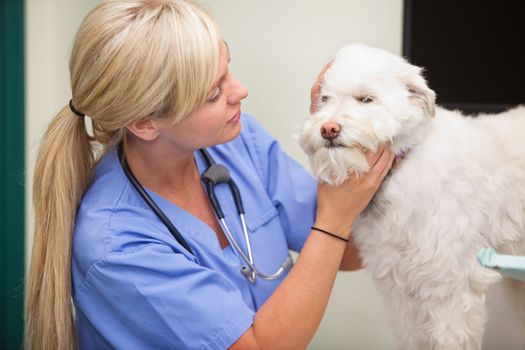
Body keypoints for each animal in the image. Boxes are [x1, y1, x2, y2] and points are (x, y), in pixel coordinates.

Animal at [298, 44, 524, 350]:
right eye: (324, 99)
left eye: (366, 98)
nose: (328, 129)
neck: (400, 170)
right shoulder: (400, 288)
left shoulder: (451, 290)